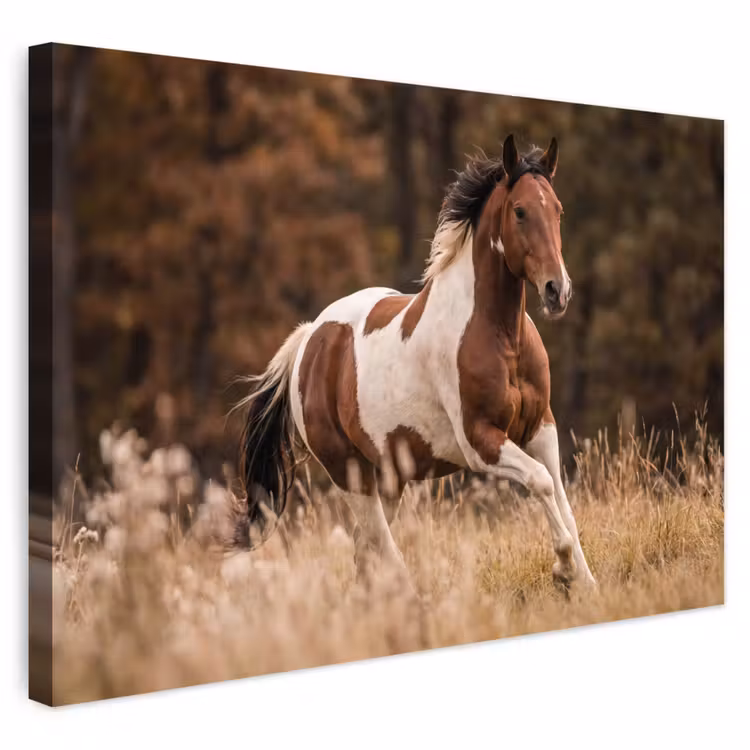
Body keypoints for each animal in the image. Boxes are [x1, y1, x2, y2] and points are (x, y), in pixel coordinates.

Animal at [236, 134, 596, 589]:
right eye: (520, 211)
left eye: (558, 210)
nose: (556, 291)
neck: (500, 337)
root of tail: (309, 340)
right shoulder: (480, 441)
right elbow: (542, 482)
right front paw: (563, 569)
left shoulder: (540, 428)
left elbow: (562, 498)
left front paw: (586, 581)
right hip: (350, 473)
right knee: (380, 548)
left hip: (389, 476)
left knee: (365, 551)